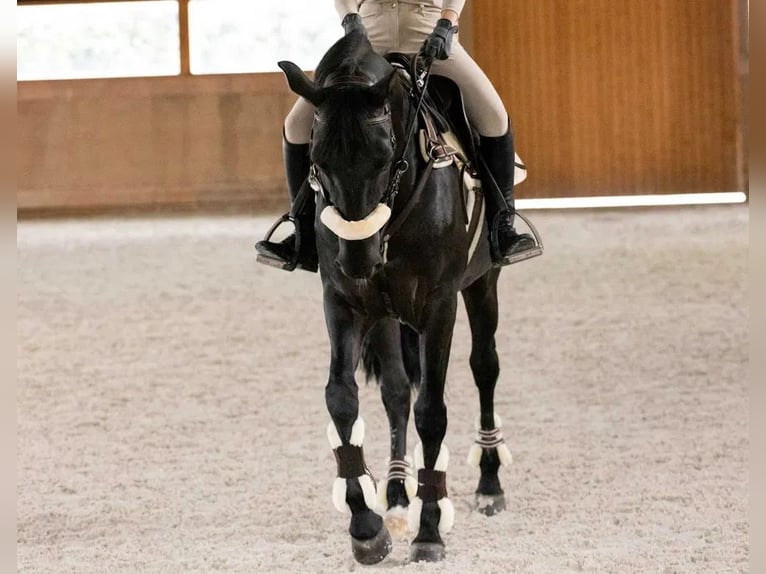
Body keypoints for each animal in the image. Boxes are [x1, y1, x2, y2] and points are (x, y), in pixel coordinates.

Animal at [277, 31, 517, 563]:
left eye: (385, 156)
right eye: (316, 161)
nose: (359, 257)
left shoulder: (439, 306)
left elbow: (433, 412)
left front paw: (430, 531)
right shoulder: (343, 302)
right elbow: (342, 398)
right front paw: (366, 526)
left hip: (482, 283)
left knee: (485, 367)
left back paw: (489, 483)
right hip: (385, 314)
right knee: (395, 392)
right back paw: (396, 494)